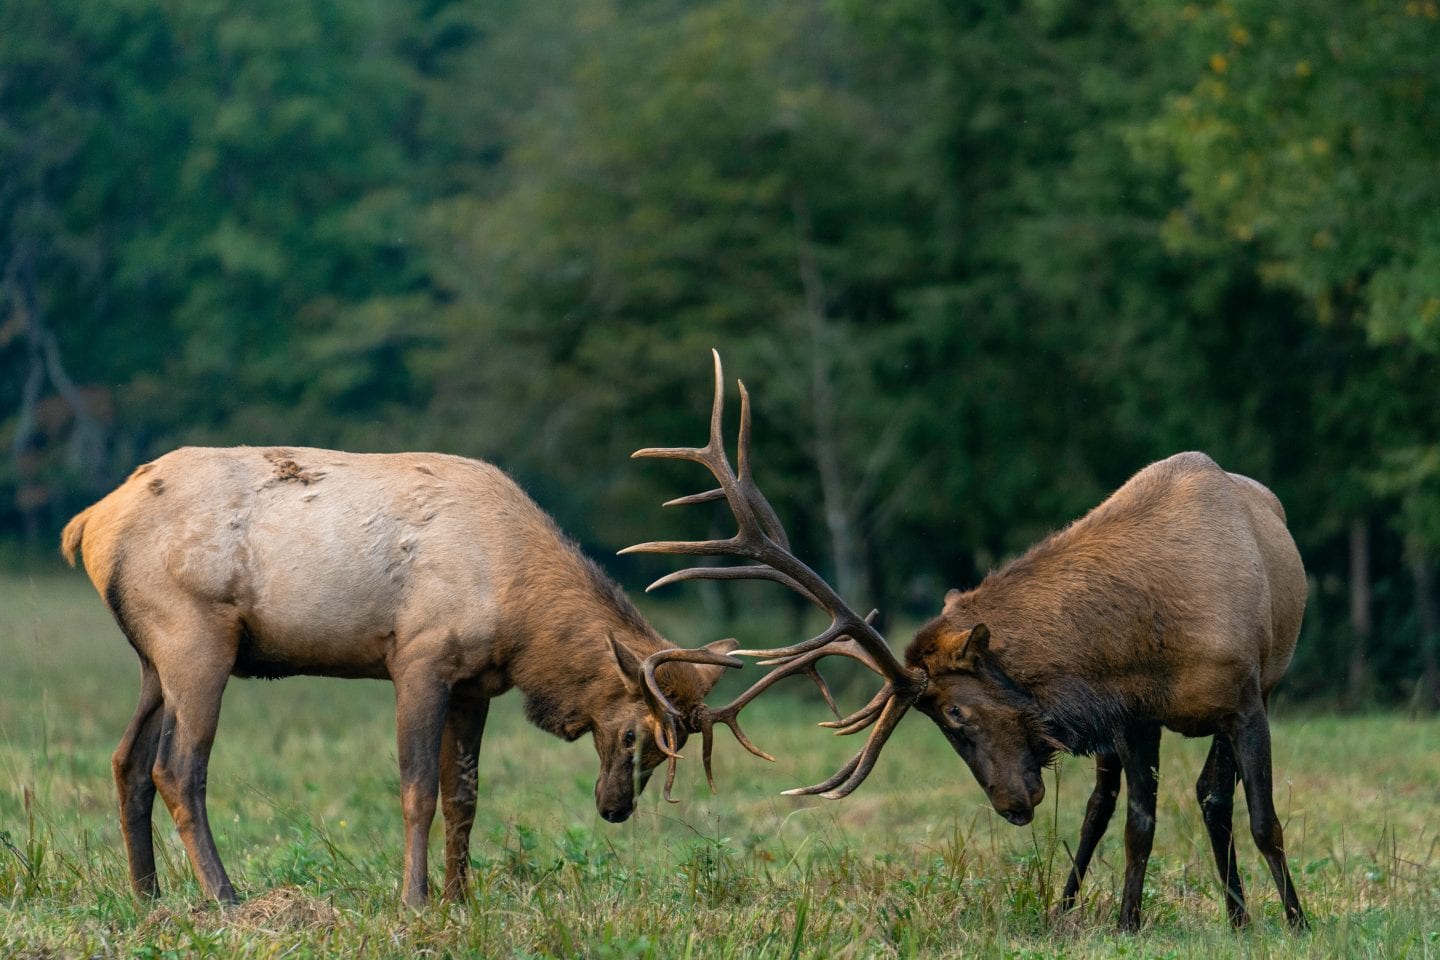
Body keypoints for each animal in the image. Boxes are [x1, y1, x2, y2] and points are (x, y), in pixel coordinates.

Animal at [60, 446, 738, 907]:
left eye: (666, 749)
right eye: (633, 735)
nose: (615, 808)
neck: (519, 617)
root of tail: (87, 524)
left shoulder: (475, 685)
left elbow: (465, 795)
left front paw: (459, 897)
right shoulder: (419, 659)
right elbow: (418, 791)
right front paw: (414, 898)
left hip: (154, 660)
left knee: (127, 760)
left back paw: (148, 895)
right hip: (195, 637)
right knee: (176, 768)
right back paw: (226, 898)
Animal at [625, 351, 1307, 933]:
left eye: (956, 713)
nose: (1011, 805)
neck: (1156, 631)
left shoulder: (1245, 700)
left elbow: (1261, 818)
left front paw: (1296, 921)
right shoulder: (1135, 715)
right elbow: (1139, 823)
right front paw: (1127, 923)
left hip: (1256, 690)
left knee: (1212, 798)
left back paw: (1241, 916)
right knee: (1104, 803)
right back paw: (1074, 908)